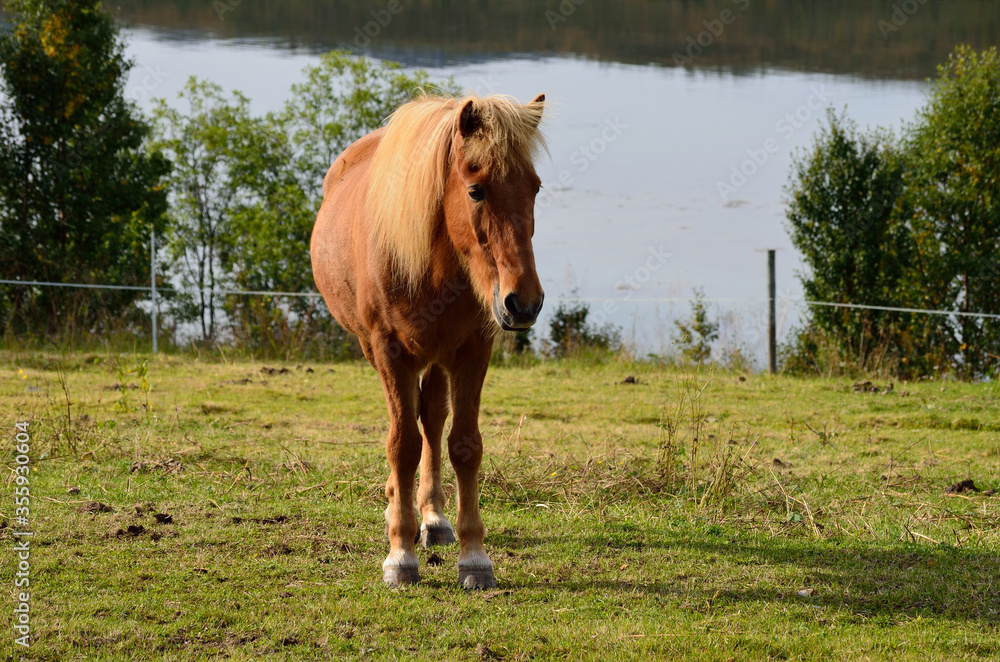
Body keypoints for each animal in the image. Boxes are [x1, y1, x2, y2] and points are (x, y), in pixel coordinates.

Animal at [311, 93, 547, 589]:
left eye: (535, 188)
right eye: (476, 190)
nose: (524, 303)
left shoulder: (472, 350)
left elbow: (464, 445)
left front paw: (474, 556)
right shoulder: (389, 351)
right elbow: (402, 445)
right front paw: (400, 554)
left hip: (438, 356)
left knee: (433, 420)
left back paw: (434, 518)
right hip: (378, 350)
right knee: (408, 427)